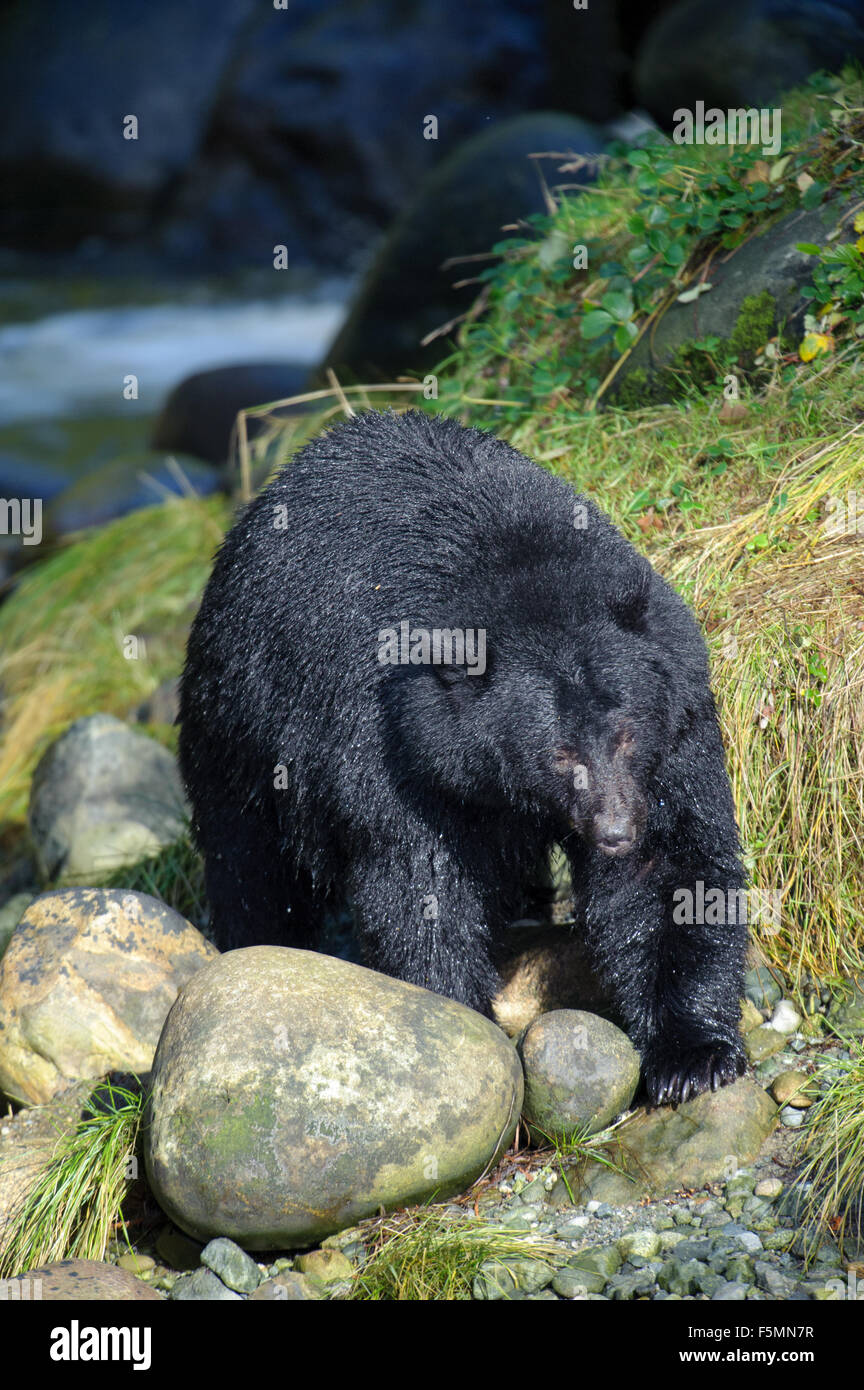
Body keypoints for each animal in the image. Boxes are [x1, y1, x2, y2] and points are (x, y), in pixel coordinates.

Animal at [179, 409, 748, 1106]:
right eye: (558, 754)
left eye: (626, 736)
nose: (614, 831)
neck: (515, 572)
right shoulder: (389, 748)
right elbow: (419, 888)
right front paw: (461, 1026)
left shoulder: (676, 718)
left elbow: (669, 866)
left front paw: (693, 1056)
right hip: (240, 719)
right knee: (249, 860)